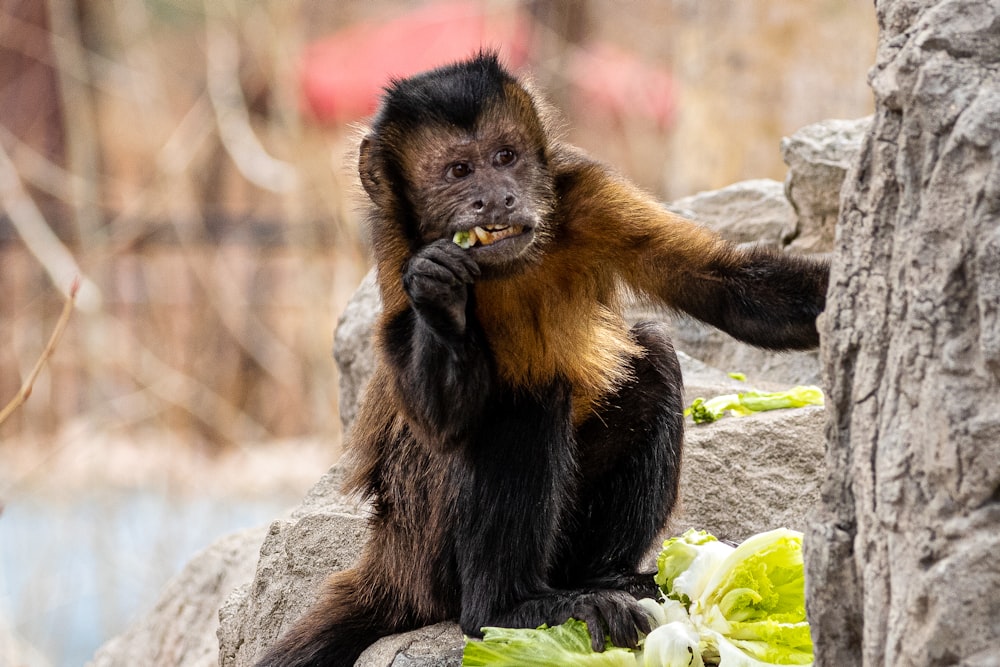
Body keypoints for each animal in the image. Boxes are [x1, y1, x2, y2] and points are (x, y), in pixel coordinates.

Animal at [256, 49, 828, 664]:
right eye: (460, 172)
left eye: (505, 158)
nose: (497, 197)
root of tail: (390, 560)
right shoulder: (396, 247)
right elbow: (439, 420)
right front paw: (440, 297)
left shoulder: (586, 191)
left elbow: (726, 287)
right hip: (425, 544)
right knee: (527, 395)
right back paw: (507, 608)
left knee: (650, 357)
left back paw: (608, 579)